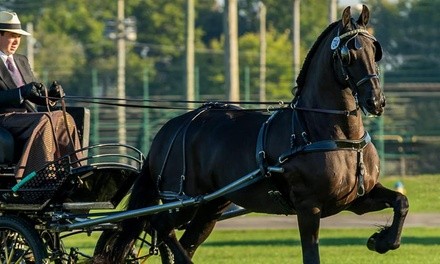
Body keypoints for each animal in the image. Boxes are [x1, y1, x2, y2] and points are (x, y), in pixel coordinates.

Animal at [96, 4, 410, 264]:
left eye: (374, 50)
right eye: (347, 54)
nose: (376, 101)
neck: (337, 137)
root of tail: (168, 130)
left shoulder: (356, 199)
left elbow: (401, 202)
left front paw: (381, 241)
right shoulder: (308, 208)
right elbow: (311, 256)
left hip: (210, 207)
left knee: (180, 239)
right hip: (182, 200)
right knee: (161, 227)